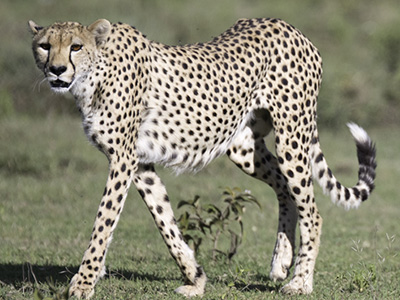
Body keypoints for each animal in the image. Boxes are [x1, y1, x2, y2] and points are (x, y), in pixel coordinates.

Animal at [29, 18, 376, 298]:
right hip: (243, 148)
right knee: (284, 187)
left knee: (312, 211)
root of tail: (288, 26)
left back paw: (300, 282)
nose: (57, 70)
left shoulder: (123, 160)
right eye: (45, 46)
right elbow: (165, 221)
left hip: (292, 135)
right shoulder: (139, 163)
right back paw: (281, 260)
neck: (93, 75)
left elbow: (103, 222)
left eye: (75, 46)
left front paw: (83, 284)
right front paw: (195, 279)